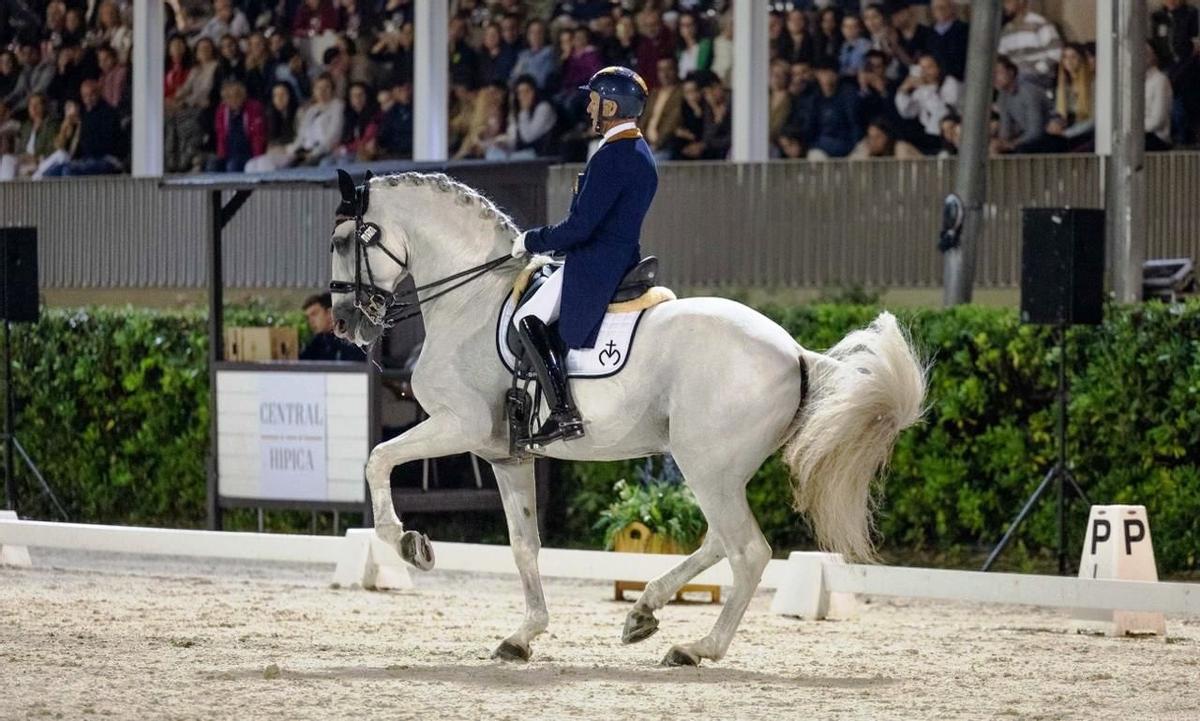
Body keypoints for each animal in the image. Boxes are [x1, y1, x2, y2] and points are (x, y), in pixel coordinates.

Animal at [331, 171, 926, 667]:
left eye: (341, 241)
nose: (344, 323)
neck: (472, 302)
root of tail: (794, 351)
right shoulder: (505, 455)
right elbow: (524, 545)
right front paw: (522, 636)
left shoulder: (462, 426)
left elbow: (377, 458)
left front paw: (406, 542)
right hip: (714, 469)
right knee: (719, 542)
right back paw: (644, 613)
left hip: (706, 465)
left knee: (748, 551)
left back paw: (696, 648)